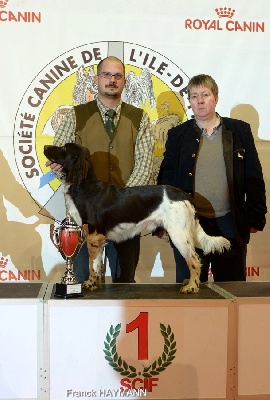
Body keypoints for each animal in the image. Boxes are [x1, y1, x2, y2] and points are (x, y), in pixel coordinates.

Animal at [44, 142, 230, 292]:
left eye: (64, 148)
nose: (45, 146)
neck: (84, 185)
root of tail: (185, 195)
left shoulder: (93, 235)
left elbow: (92, 264)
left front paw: (89, 284)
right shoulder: (97, 237)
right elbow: (98, 265)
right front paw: (95, 284)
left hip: (179, 234)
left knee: (195, 260)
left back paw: (191, 287)